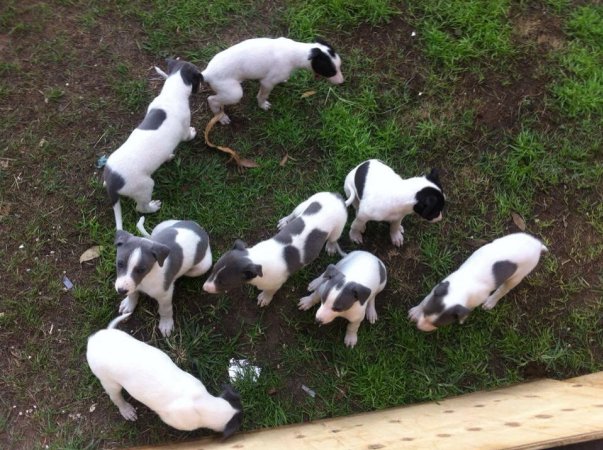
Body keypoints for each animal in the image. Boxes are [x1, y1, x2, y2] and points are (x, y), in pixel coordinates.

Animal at [105, 58, 204, 230]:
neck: (172, 93)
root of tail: (112, 181)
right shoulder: (185, 126)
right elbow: (188, 135)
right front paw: (193, 133)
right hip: (145, 187)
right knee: (141, 208)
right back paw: (153, 207)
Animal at [202, 37, 344, 124]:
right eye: (331, 72)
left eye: (340, 66)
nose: (342, 82)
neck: (296, 52)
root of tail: (207, 73)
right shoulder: (267, 83)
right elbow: (262, 95)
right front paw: (262, 105)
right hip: (234, 94)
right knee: (212, 99)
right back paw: (221, 116)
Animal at [203, 192, 346, 308]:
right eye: (213, 269)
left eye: (222, 282)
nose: (204, 288)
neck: (256, 257)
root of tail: (337, 196)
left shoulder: (276, 284)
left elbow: (270, 291)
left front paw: (265, 298)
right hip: (306, 203)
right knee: (295, 213)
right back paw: (286, 220)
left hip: (338, 229)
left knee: (333, 238)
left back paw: (331, 246)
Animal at [410, 232, 548, 330]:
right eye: (425, 312)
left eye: (437, 325)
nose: (418, 327)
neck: (462, 288)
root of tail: (537, 245)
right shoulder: (440, 287)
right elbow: (426, 298)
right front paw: (416, 312)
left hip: (519, 275)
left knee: (504, 289)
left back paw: (491, 302)